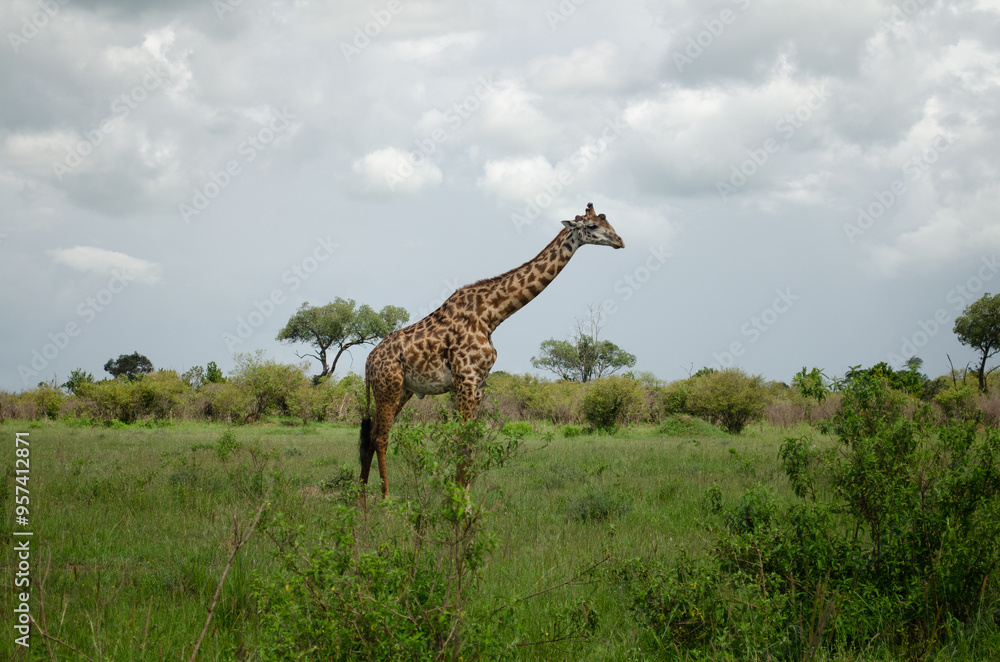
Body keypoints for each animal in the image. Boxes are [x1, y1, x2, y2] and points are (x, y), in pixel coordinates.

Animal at [359, 203, 624, 497]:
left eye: (608, 222)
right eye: (592, 226)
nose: (620, 241)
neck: (491, 315)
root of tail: (368, 362)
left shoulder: (480, 383)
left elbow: (471, 439)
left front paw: (465, 495)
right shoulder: (466, 378)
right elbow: (463, 440)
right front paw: (458, 499)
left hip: (402, 390)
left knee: (371, 435)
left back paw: (360, 496)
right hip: (388, 387)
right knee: (381, 437)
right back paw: (385, 498)